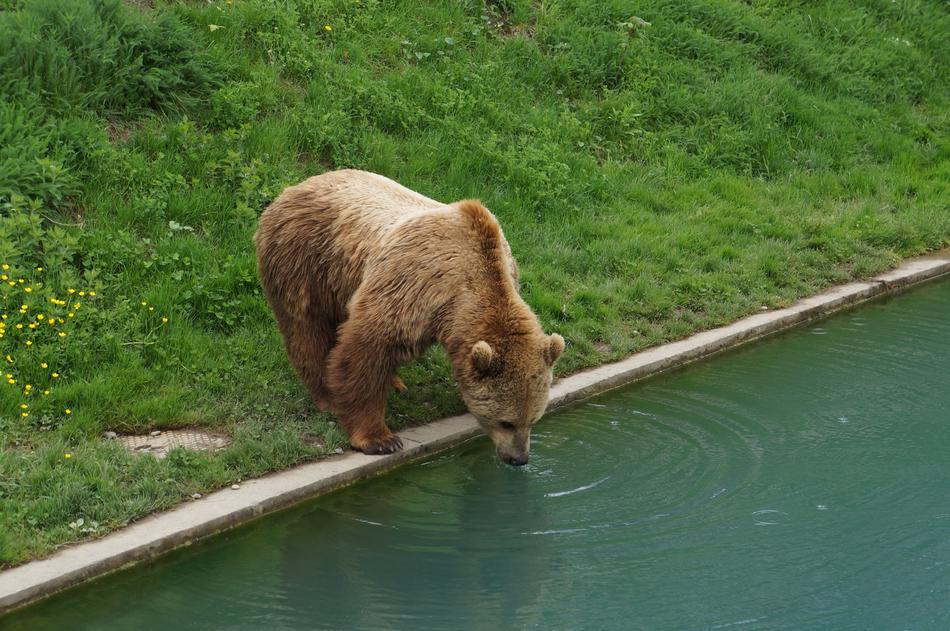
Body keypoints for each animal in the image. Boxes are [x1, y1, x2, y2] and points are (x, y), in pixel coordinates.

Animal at [254, 169, 564, 465]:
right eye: (506, 422)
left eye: (534, 420)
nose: (519, 459)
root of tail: (293, 188)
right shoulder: (414, 285)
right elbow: (367, 347)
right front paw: (379, 439)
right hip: (305, 260)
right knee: (306, 328)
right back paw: (326, 394)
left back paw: (394, 382)